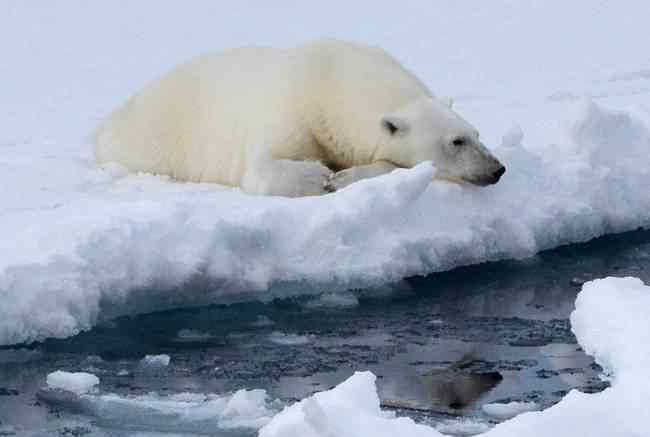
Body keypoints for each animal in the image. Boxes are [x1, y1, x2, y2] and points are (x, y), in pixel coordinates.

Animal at [95, 39, 502, 196]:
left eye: (477, 133)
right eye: (457, 141)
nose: (497, 168)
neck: (332, 81)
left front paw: (344, 175)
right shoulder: (290, 112)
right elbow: (261, 169)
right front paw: (320, 176)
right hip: (152, 141)